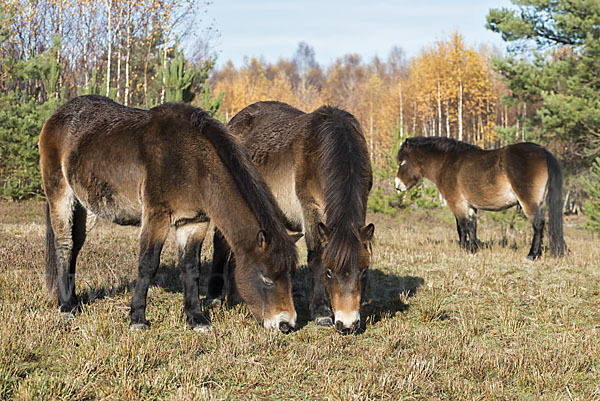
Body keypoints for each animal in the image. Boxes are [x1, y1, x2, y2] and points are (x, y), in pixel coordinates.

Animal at [38, 94, 300, 332]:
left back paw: (72, 300)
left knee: (75, 247)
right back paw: (67, 307)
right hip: (60, 195)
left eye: (290, 277)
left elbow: (191, 268)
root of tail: (56, 116)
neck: (192, 162)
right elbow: (148, 264)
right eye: (266, 278)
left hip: (86, 207)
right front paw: (137, 319)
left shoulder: (194, 222)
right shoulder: (157, 216)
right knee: (64, 245)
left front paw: (196, 318)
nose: (285, 324)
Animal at [209, 101, 372, 332]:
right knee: (220, 243)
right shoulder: (310, 208)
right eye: (329, 272)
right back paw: (215, 295)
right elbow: (316, 257)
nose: (347, 325)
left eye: (364, 271)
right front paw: (321, 313)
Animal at [394, 136, 568, 258]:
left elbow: (462, 226)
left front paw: (464, 248)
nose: (397, 185)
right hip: (541, 202)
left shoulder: (457, 203)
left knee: (538, 225)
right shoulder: (470, 206)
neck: (447, 162)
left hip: (529, 202)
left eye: (402, 162)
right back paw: (538, 253)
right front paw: (473, 248)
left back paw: (531, 255)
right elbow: (472, 226)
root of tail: (543, 152)